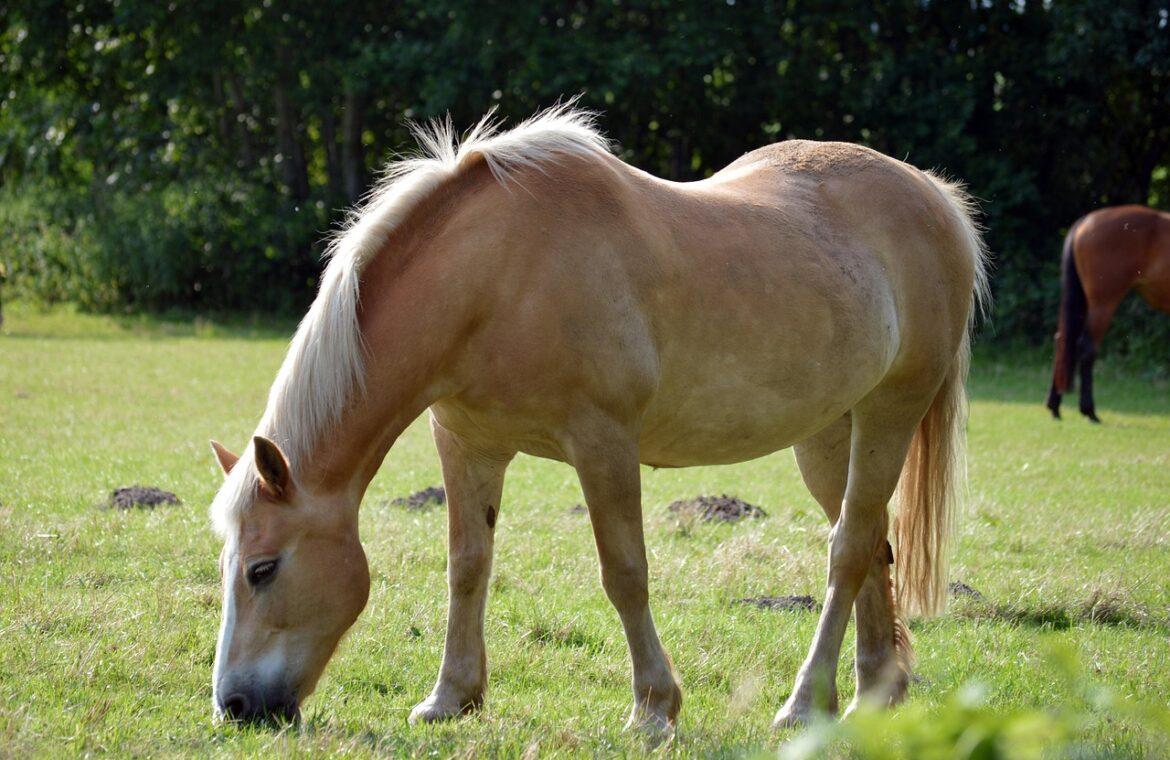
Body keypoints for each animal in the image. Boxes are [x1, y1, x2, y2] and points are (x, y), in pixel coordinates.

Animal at [207, 105, 989, 733]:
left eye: (262, 569)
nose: (235, 707)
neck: (496, 275)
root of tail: (932, 194)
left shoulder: (603, 442)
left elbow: (625, 573)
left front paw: (654, 708)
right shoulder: (467, 443)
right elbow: (467, 565)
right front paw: (451, 698)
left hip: (891, 411)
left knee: (848, 550)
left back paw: (803, 703)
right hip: (830, 433)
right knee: (870, 543)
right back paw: (873, 694)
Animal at [1046, 205, 1170, 422]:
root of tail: (1086, 220)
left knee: (1062, 340)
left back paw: (1055, 405)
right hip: (1103, 303)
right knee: (1086, 347)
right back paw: (1089, 410)